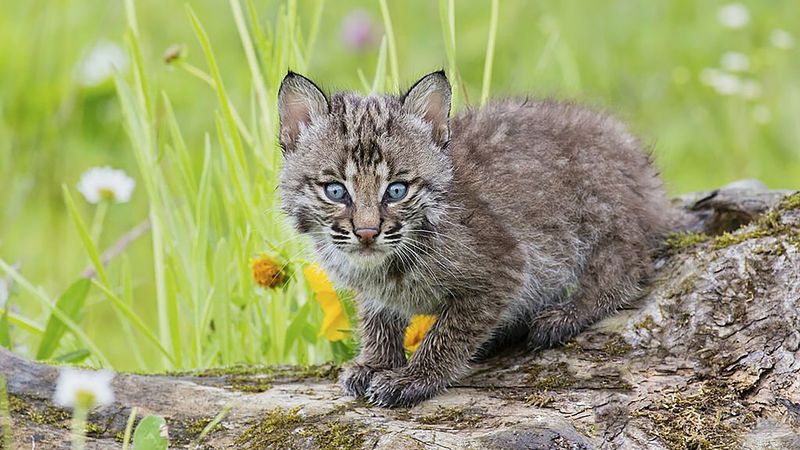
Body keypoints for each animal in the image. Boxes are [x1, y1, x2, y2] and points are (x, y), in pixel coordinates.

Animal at [278, 70, 672, 408]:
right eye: (335, 191)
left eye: (396, 190)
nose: (366, 233)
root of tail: (640, 164)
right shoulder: (373, 287)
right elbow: (377, 319)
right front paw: (376, 363)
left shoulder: (506, 267)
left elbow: (447, 332)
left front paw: (415, 378)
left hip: (601, 214)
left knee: (628, 263)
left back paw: (564, 315)